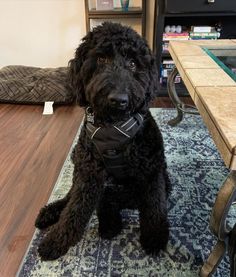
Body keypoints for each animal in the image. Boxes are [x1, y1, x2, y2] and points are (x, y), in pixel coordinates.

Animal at [35, 22, 171, 260]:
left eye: (133, 63)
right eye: (101, 59)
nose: (119, 99)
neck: (113, 128)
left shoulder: (151, 174)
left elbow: (155, 205)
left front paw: (155, 236)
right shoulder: (88, 174)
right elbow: (75, 209)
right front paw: (57, 239)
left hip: (140, 185)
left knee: (111, 197)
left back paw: (109, 222)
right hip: (82, 168)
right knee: (75, 196)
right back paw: (51, 212)